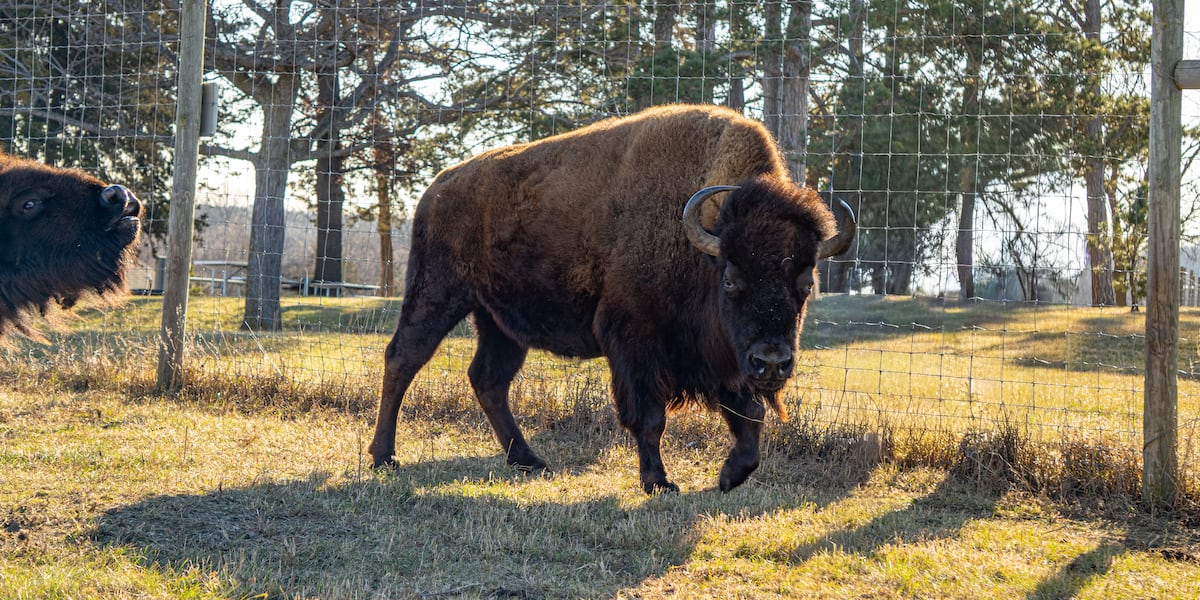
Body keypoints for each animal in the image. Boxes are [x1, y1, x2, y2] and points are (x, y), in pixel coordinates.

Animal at [369, 104, 855, 494]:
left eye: (805, 284)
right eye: (732, 280)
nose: (772, 362)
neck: (701, 241)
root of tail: (435, 189)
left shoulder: (724, 359)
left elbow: (749, 413)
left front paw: (730, 476)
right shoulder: (634, 339)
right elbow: (650, 417)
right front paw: (659, 483)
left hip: (499, 321)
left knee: (488, 379)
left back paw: (529, 461)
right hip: (437, 292)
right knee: (404, 358)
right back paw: (383, 456)